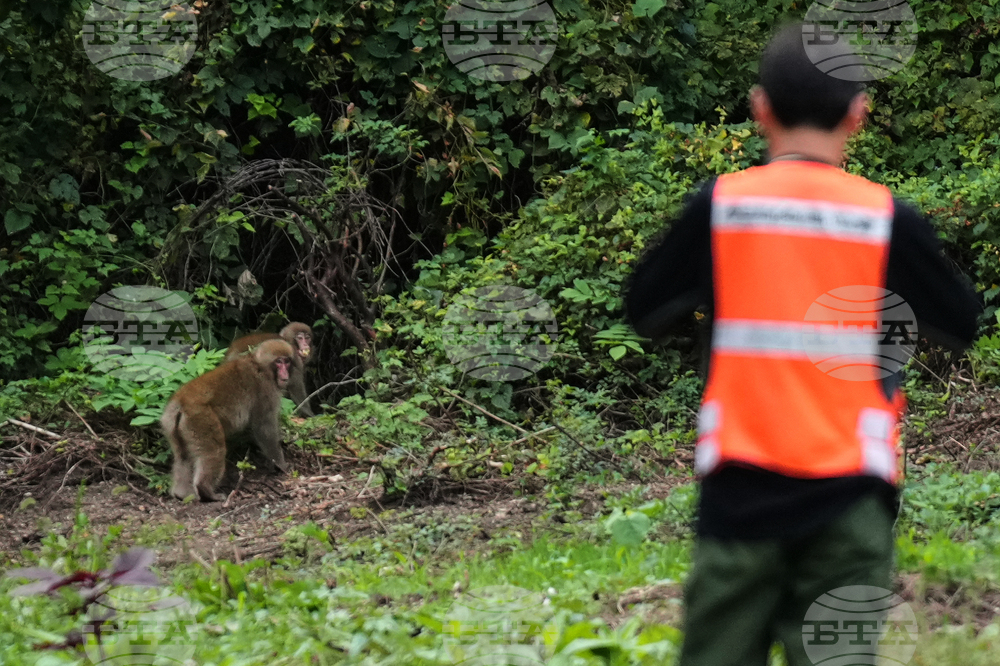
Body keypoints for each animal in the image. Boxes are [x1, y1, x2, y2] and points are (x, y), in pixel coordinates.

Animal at [161, 339, 294, 502]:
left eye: (287, 361)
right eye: (279, 362)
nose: (284, 373)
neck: (259, 365)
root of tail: (181, 401)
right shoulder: (266, 390)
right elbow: (264, 427)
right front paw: (281, 465)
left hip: (172, 425)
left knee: (182, 456)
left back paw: (181, 493)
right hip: (201, 419)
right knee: (214, 451)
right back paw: (206, 491)